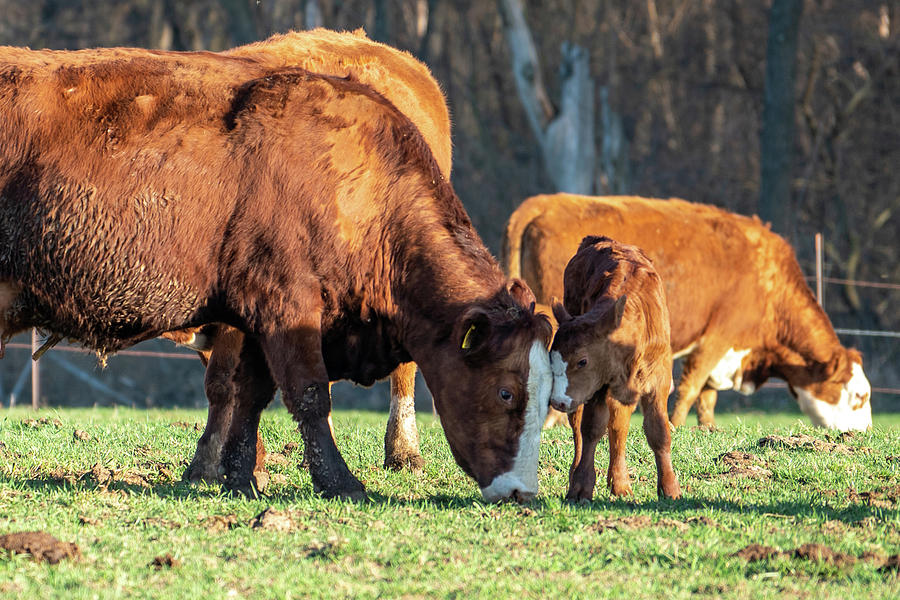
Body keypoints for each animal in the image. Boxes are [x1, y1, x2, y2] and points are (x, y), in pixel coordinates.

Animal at [0, 43, 552, 502]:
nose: (522, 492)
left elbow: (247, 393)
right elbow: (309, 396)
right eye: (506, 391)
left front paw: (239, 477)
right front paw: (340, 481)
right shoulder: (287, 306)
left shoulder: (252, 319)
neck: (353, 185)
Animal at [502, 196, 868, 432]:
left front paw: (707, 428)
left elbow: (707, 393)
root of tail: (543, 202)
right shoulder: (717, 337)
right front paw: (677, 425)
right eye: (858, 397)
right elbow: (692, 385)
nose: (863, 432)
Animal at [548, 234, 684, 502]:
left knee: (618, 425)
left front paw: (670, 488)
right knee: (578, 425)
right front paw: (581, 487)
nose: (557, 401)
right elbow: (591, 428)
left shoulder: (659, 380)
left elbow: (659, 431)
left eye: (582, 360)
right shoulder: (597, 386)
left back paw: (620, 483)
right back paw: (577, 473)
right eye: (552, 358)